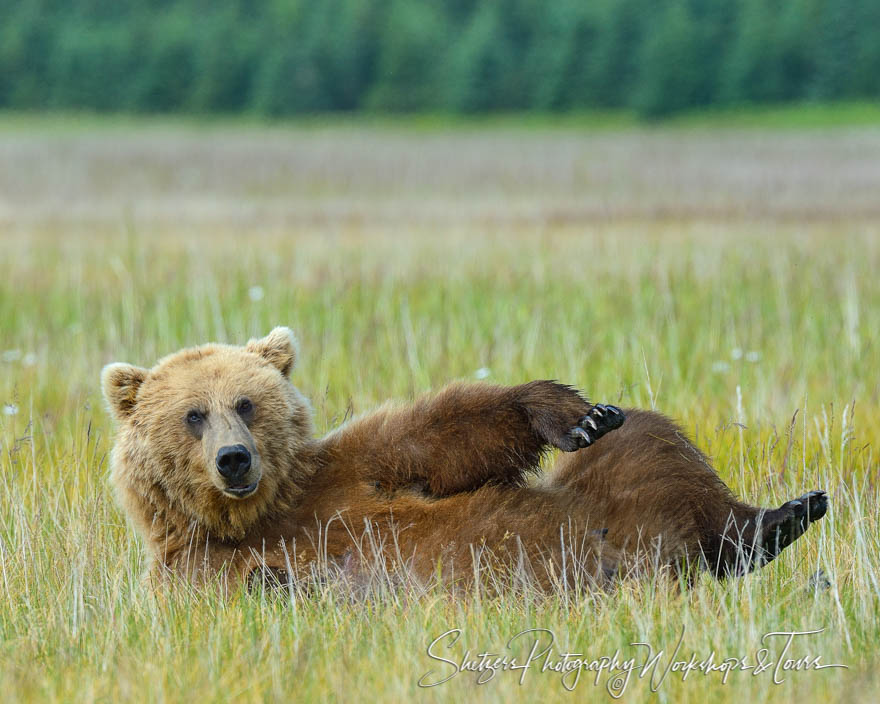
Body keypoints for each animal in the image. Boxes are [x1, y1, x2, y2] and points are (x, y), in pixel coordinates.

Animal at [101, 328, 824, 592]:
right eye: (193, 414)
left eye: (246, 403)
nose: (234, 460)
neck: (262, 516)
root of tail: (668, 559)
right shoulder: (190, 568)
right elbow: (246, 589)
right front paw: (294, 582)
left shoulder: (344, 469)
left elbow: (444, 438)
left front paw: (574, 415)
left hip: (614, 490)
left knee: (652, 444)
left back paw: (788, 513)